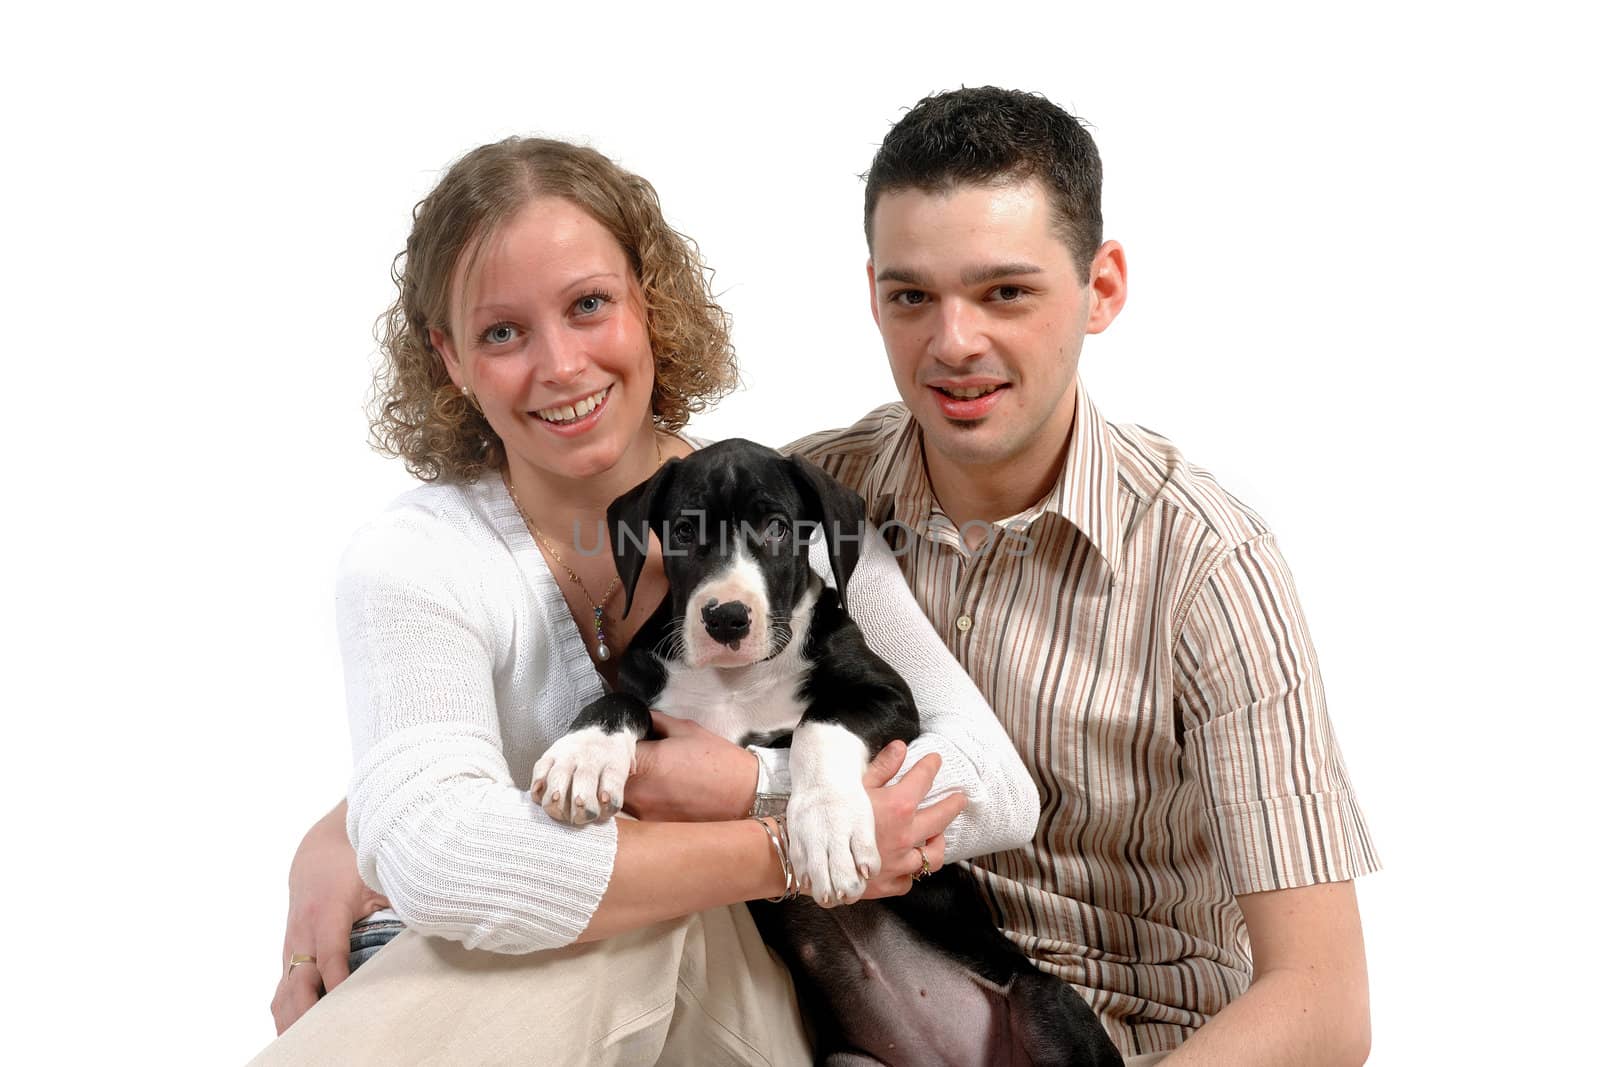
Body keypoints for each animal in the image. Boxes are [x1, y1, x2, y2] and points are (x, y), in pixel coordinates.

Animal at [531, 441, 1120, 1067]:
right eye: (685, 531)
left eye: (776, 527)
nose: (725, 618)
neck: (736, 680)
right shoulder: (653, 693)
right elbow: (619, 699)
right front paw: (583, 757)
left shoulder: (887, 698)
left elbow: (818, 726)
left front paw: (829, 831)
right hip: (847, 1059)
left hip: (1045, 999)